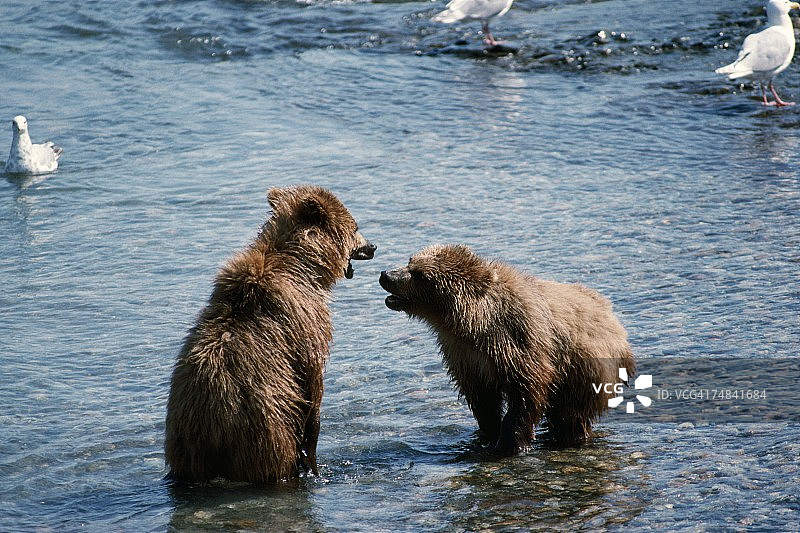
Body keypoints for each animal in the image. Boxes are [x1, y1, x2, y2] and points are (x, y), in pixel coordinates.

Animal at [165, 185, 376, 483]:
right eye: (356, 227)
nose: (372, 246)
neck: (301, 266)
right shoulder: (305, 323)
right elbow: (313, 383)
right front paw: (312, 457)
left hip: (186, 444)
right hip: (266, 432)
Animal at [379, 244, 634, 454]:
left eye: (420, 274)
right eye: (410, 260)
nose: (386, 274)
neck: (472, 324)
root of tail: (617, 325)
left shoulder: (516, 339)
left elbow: (527, 391)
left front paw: (509, 444)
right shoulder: (462, 354)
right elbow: (482, 399)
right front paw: (488, 434)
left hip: (584, 369)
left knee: (571, 414)